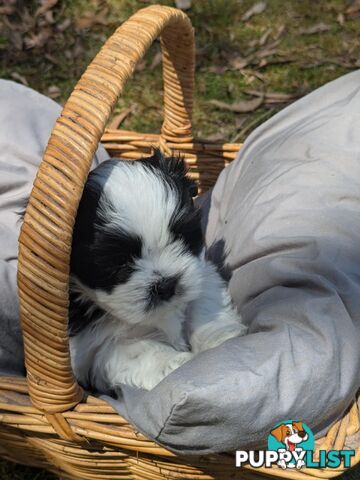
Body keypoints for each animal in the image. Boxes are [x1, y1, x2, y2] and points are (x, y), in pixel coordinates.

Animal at [69, 152, 246, 392]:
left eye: (180, 236)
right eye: (119, 263)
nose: (166, 284)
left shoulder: (202, 273)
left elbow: (204, 304)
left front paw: (220, 338)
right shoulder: (94, 348)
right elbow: (139, 350)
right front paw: (178, 364)